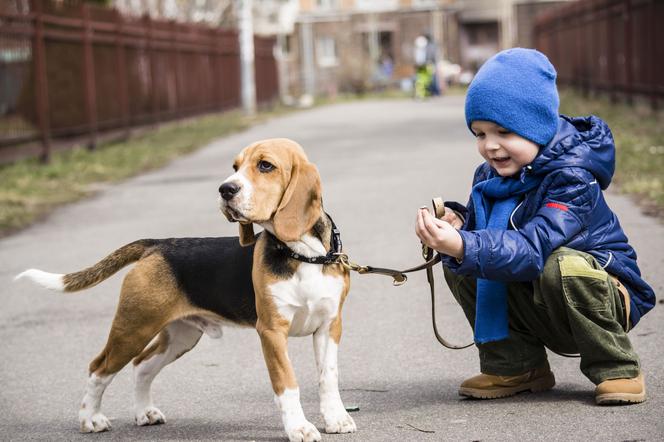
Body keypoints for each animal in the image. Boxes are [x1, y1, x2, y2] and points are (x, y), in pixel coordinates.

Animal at [15, 138, 356, 442]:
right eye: (235, 167)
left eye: (265, 165)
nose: (225, 189)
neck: (303, 254)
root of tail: (157, 244)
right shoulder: (272, 331)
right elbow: (287, 384)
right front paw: (299, 428)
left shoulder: (329, 326)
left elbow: (328, 378)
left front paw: (336, 419)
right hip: (133, 327)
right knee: (99, 368)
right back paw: (91, 419)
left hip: (180, 335)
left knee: (142, 366)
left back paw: (144, 413)